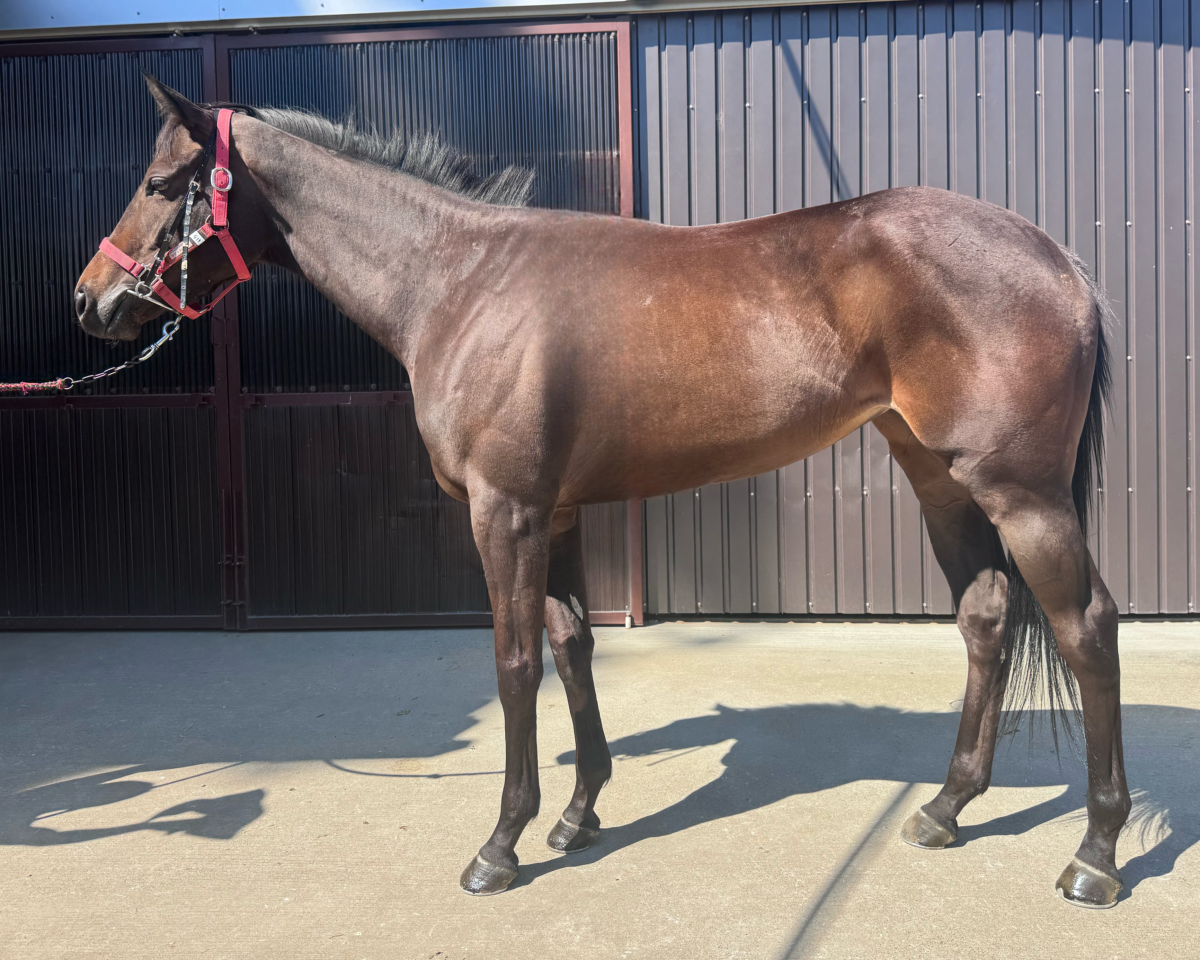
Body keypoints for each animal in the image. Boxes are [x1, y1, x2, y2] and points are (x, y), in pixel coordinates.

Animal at [74, 75, 1127, 907]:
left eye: (159, 185)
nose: (90, 301)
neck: (458, 281)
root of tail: (1058, 259)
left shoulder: (505, 512)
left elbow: (512, 664)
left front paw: (500, 844)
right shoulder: (560, 512)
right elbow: (573, 645)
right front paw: (577, 815)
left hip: (1023, 494)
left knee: (1085, 627)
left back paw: (1096, 854)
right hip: (939, 478)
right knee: (987, 616)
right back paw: (947, 808)